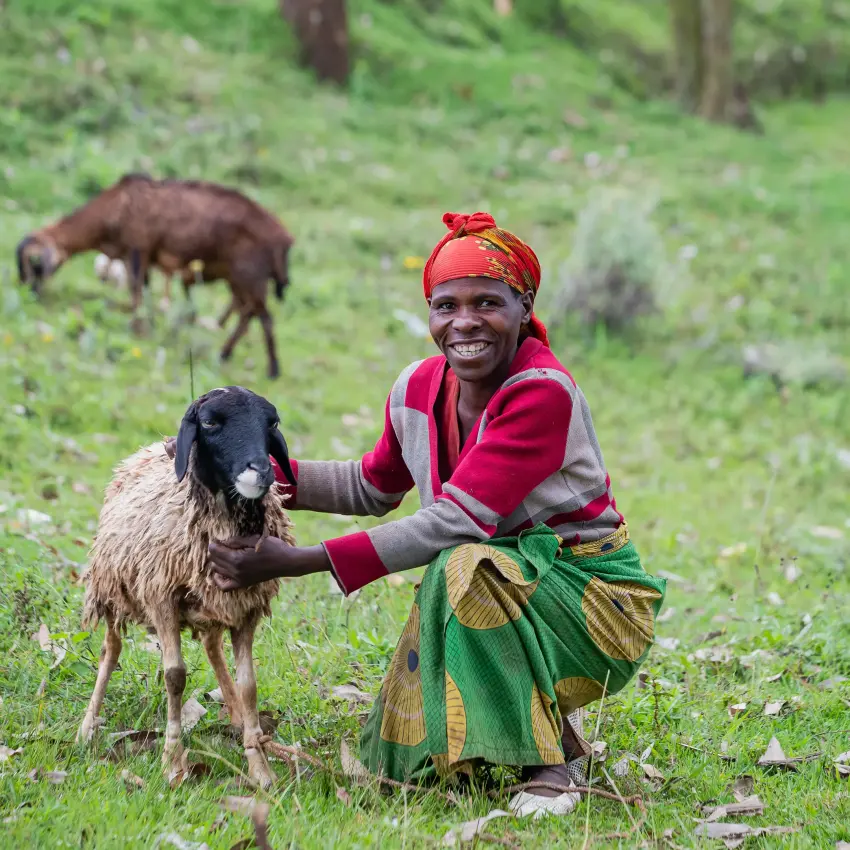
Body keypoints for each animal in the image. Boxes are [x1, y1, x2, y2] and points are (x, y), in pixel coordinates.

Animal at [16, 173, 294, 378]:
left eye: (34, 263)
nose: (32, 294)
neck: (117, 205)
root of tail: (283, 238)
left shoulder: (138, 249)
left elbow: (136, 290)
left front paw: (138, 328)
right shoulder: (144, 258)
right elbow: (144, 292)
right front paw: (146, 324)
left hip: (249, 275)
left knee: (263, 316)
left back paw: (272, 369)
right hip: (238, 278)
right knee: (249, 313)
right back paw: (225, 353)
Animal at [77, 386, 298, 788]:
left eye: (271, 423)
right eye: (209, 423)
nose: (262, 471)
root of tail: (148, 448)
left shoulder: (246, 607)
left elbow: (249, 685)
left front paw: (260, 768)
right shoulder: (161, 597)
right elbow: (175, 677)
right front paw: (172, 762)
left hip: (211, 603)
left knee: (212, 646)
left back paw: (237, 717)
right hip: (112, 586)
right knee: (110, 649)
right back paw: (86, 729)